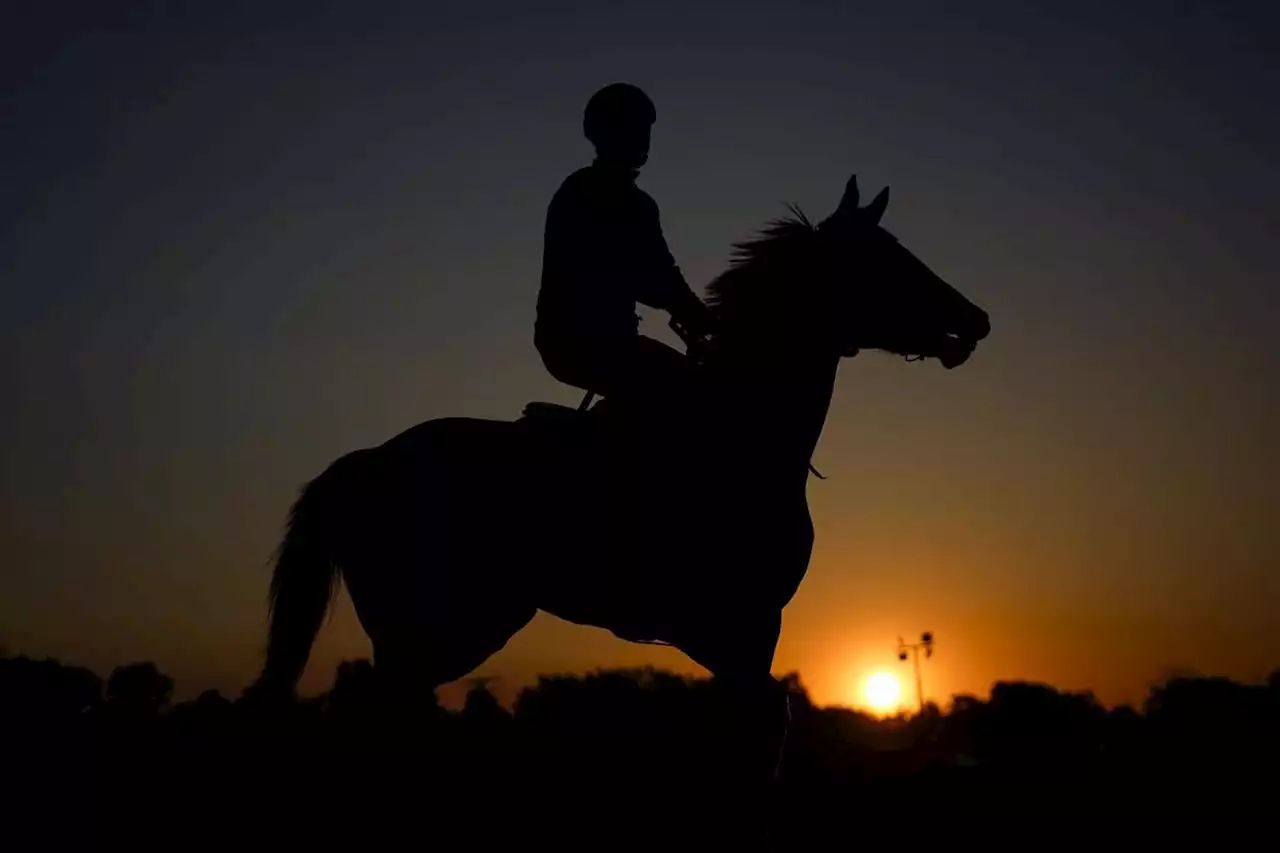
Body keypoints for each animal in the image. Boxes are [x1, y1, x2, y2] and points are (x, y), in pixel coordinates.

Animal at [249, 174, 988, 824]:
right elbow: (761, 726)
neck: (742, 431)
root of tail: (359, 464)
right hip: (433, 631)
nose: (976, 319)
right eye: (887, 259)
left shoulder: (738, 632)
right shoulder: (737, 623)